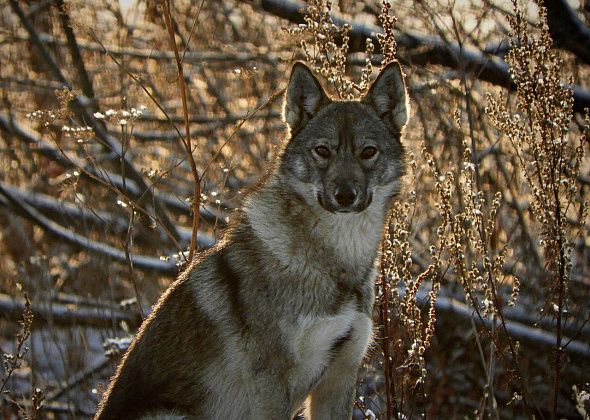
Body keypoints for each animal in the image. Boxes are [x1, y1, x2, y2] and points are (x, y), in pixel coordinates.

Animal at [96, 60, 412, 420]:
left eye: (368, 152)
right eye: (322, 151)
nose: (345, 195)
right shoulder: (271, 384)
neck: (335, 264)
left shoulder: (340, 378)